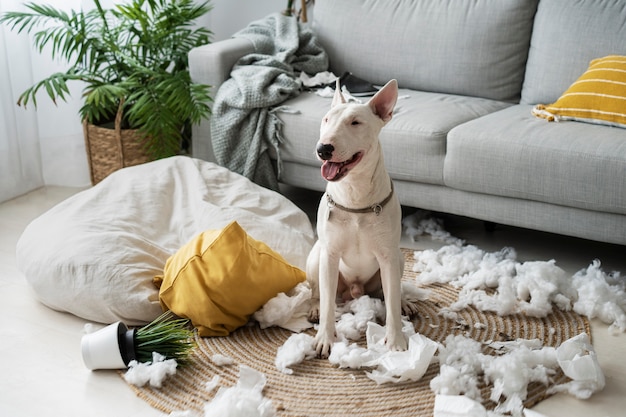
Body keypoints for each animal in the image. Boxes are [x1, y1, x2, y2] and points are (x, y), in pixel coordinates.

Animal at [306, 79, 416, 358]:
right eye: (326, 119)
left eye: (355, 122)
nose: (323, 149)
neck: (354, 194)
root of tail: (355, 290)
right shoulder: (329, 255)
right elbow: (327, 302)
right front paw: (325, 339)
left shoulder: (388, 256)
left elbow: (391, 302)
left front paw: (396, 342)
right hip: (316, 258)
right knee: (317, 291)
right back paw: (314, 307)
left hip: (398, 259)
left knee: (391, 291)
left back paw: (405, 303)